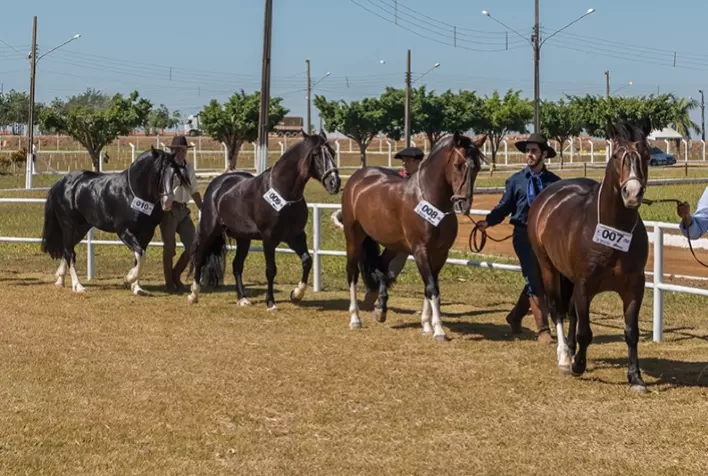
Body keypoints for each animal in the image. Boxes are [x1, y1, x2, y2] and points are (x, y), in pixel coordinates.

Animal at [41, 146, 190, 295]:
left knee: (67, 249)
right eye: (158, 172)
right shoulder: (124, 231)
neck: (132, 192)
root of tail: (59, 183)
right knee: (69, 252)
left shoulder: (146, 233)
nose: (168, 201)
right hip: (68, 225)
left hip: (81, 227)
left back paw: (60, 279)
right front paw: (128, 279)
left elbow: (139, 257)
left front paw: (137, 287)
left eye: (175, 173)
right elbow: (141, 254)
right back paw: (78, 286)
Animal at [186, 130, 341, 310]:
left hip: (243, 239)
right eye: (316, 154)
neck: (284, 193)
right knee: (199, 258)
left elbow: (307, 260)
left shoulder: (295, 236)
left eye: (332, 152)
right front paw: (271, 302)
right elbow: (271, 270)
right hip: (210, 230)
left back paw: (242, 299)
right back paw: (193, 295)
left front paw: (296, 294)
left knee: (237, 265)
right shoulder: (269, 239)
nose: (334, 182)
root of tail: (218, 184)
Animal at [340, 133, 486, 341]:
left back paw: (381, 310)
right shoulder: (420, 250)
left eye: (478, 167)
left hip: (393, 244)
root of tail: (357, 178)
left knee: (381, 266)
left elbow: (430, 286)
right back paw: (355, 319)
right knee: (352, 272)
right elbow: (432, 288)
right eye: (458, 164)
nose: (463, 203)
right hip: (353, 237)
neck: (429, 199)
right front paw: (439, 331)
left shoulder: (440, 253)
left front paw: (426, 326)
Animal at [527, 118, 652, 393]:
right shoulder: (585, 285)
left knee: (572, 312)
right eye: (616, 155)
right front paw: (577, 365)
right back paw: (565, 356)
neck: (613, 231)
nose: (633, 193)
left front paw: (636, 378)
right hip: (548, 268)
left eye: (647, 155)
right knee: (558, 309)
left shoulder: (634, 288)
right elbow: (585, 331)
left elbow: (631, 332)